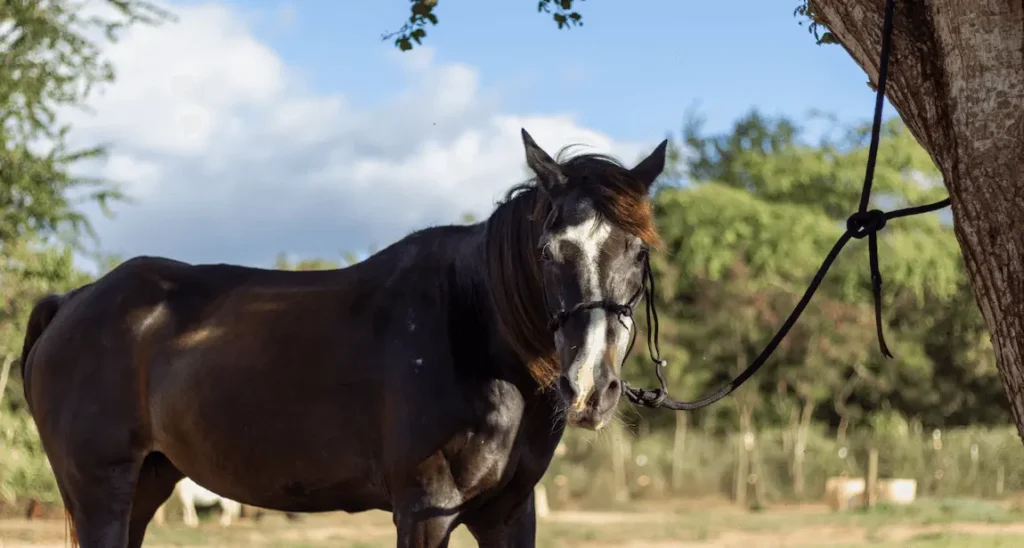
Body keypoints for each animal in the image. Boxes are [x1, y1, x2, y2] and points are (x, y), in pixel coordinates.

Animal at [22, 129, 671, 548]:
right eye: (548, 251)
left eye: (639, 252)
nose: (589, 387)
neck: (472, 332)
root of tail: (73, 301)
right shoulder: (422, 513)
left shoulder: (508, 515)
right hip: (100, 491)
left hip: (146, 484)